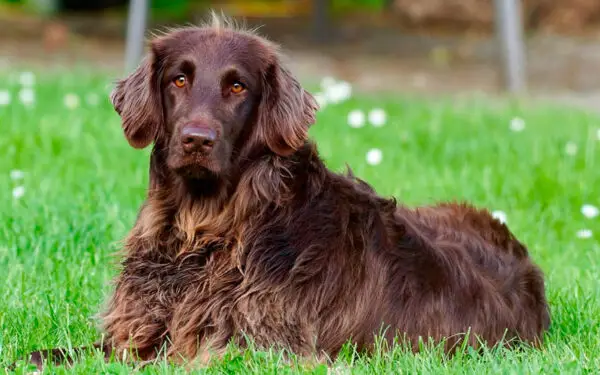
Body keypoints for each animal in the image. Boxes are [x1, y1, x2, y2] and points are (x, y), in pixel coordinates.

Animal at [22, 13, 548, 372]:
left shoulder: (257, 348)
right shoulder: (138, 329)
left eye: (237, 86)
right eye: (179, 79)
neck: (208, 231)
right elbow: (58, 352)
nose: (196, 139)